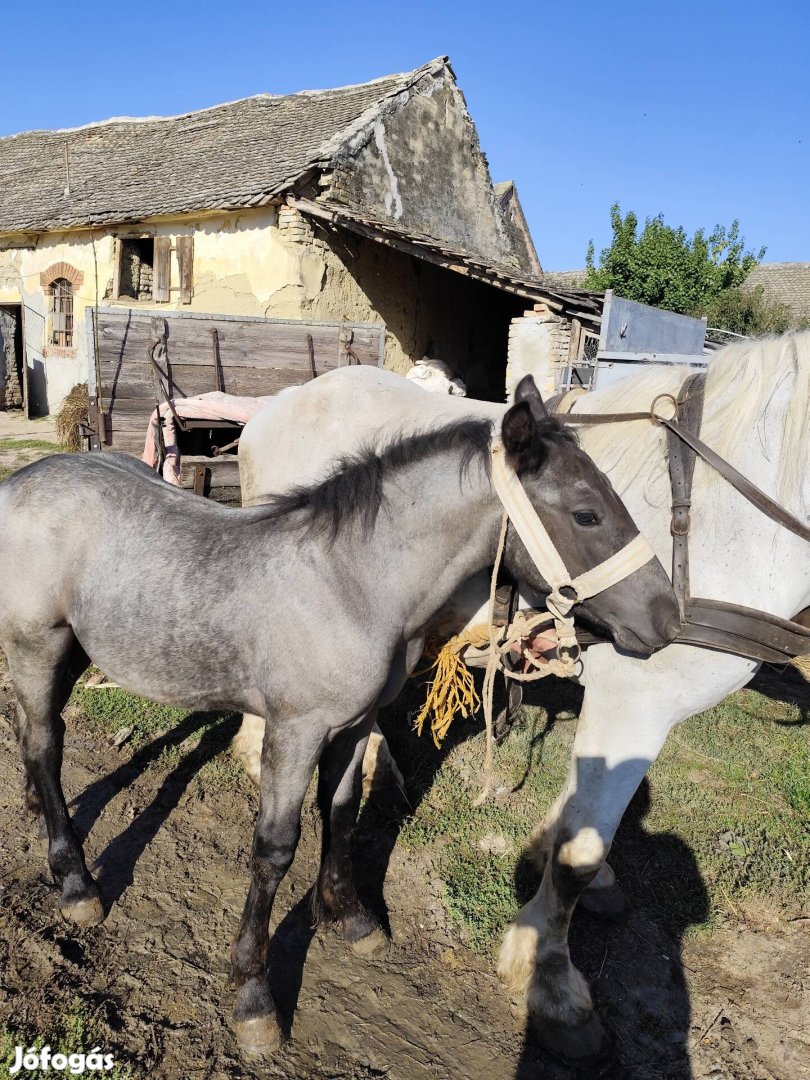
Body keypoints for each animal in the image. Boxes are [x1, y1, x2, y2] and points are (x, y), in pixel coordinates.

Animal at [231, 332, 807, 1058]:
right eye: (587, 515)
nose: (663, 620)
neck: (715, 521)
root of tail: (278, 405)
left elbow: (576, 825)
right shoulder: (635, 705)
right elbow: (580, 855)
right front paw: (551, 982)